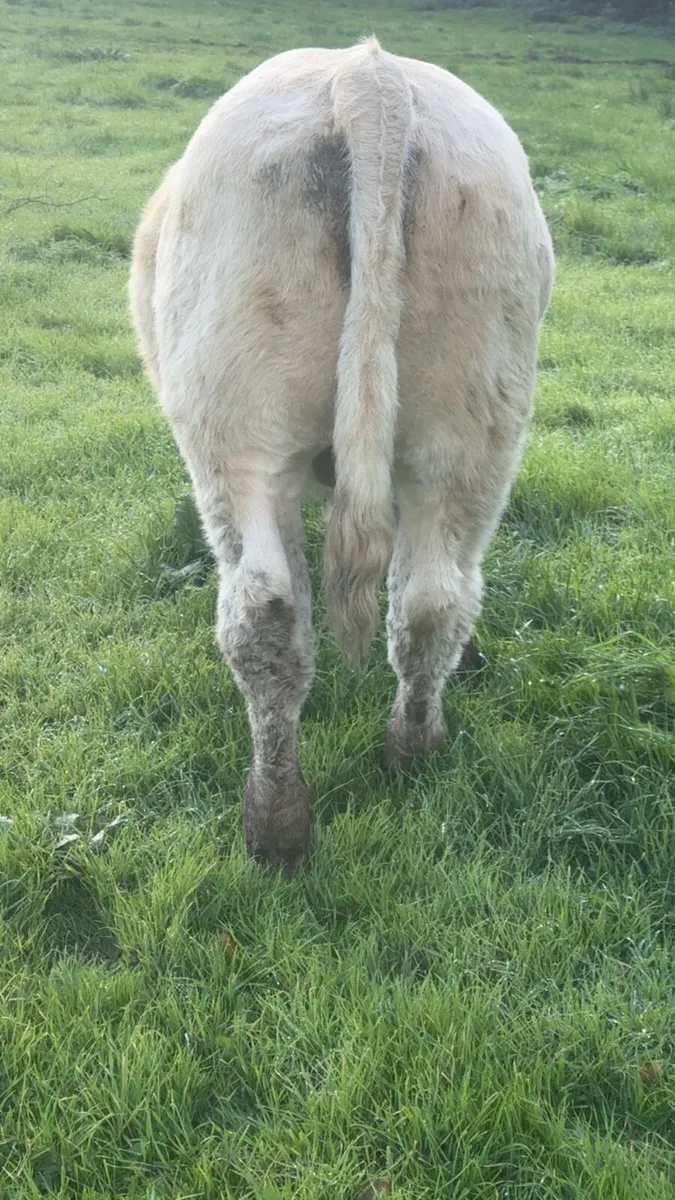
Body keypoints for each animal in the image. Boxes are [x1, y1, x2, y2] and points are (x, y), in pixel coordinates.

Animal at [129, 38, 554, 874]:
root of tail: (367, 73)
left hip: (235, 435)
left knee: (262, 607)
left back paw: (274, 824)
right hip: (471, 432)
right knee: (429, 596)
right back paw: (413, 752)